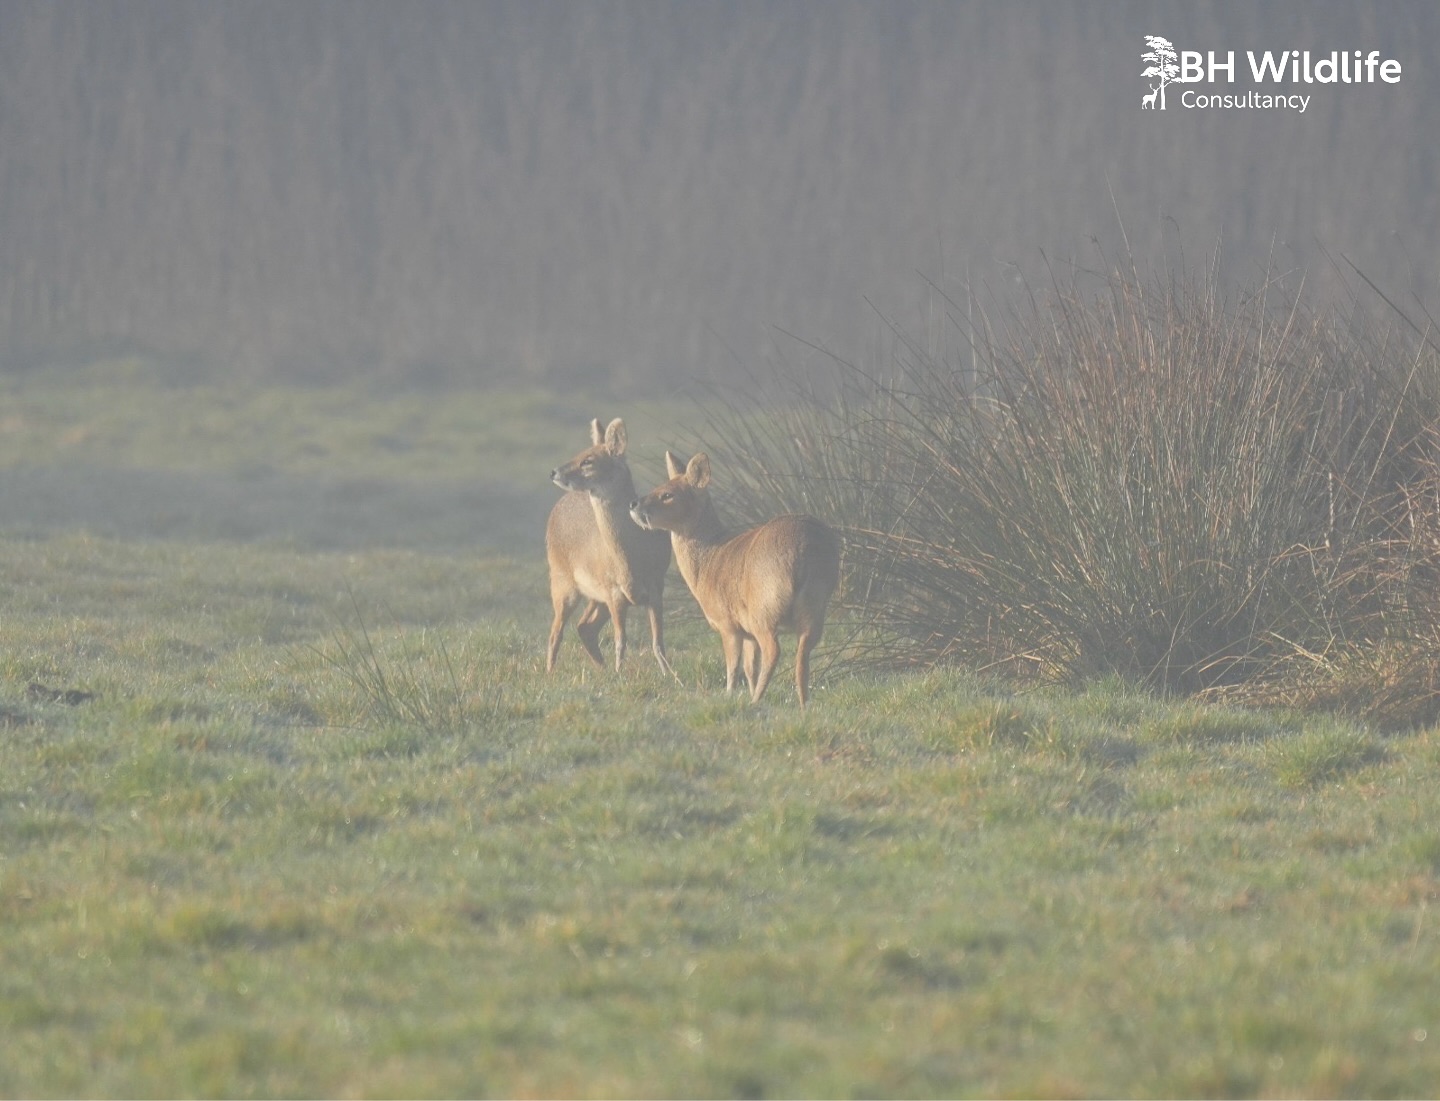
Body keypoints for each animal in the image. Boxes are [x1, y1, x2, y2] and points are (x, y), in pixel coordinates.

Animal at [546, 418, 672, 675]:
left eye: (588, 460)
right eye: (579, 453)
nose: (554, 471)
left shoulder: (656, 586)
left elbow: (658, 642)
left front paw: (670, 676)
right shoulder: (613, 591)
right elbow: (620, 641)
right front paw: (619, 674)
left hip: (594, 596)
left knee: (584, 627)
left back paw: (600, 669)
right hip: (562, 581)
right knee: (556, 632)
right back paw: (550, 674)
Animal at [630, 451, 840, 707]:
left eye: (667, 494)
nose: (634, 504)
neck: (707, 563)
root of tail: (803, 550)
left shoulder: (727, 624)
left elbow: (733, 667)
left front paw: (730, 696)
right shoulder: (747, 631)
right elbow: (750, 667)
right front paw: (746, 692)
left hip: (764, 609)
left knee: (774, 651)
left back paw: (757, 701)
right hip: (815, 605)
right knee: (803, 655)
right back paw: (802, 704)